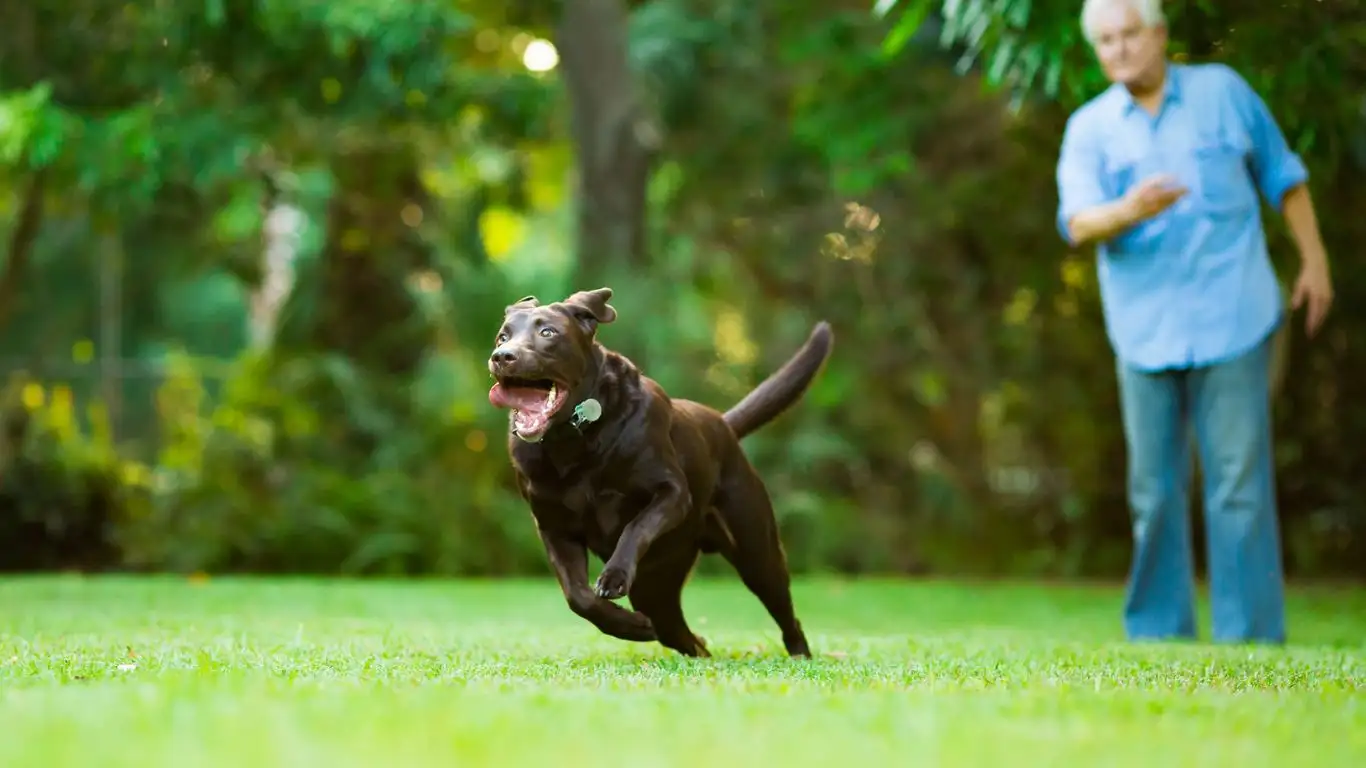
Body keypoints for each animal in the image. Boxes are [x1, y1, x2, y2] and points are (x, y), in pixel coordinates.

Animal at [491, 284, 830, 655]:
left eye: (548, 332)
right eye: (502, 336)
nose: (502, 356)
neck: (574, 441)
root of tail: (723, 423)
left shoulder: (672, 492)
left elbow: (635, 527)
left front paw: (614, 577)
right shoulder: (554, 527)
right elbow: (578, 596)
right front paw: (632, 626)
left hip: (756, 551)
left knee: (784, 611)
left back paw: (799, 653)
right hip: (657, 584)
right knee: (674, 630)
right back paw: (681, 638)